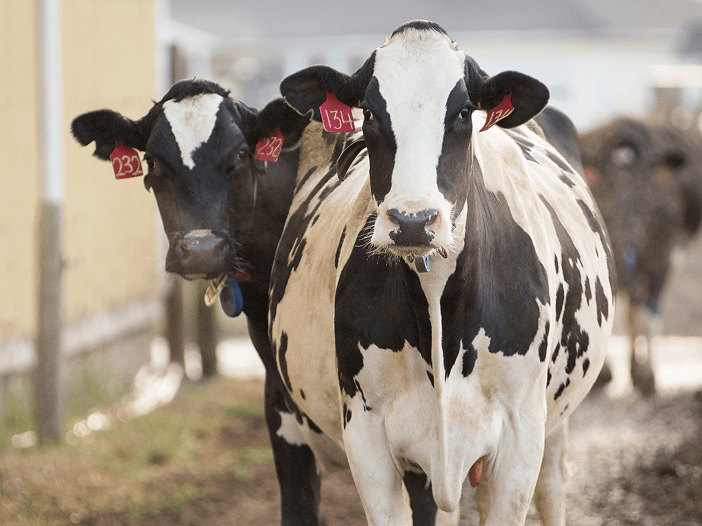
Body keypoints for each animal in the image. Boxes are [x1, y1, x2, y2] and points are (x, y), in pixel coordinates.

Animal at [268, 20, 615, 525]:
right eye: (369, 112)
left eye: (464, 112)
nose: (413, 220)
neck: (436, 309)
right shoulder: (367, 437)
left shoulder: (521, 436)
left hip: (553, 427)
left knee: (553, 488)